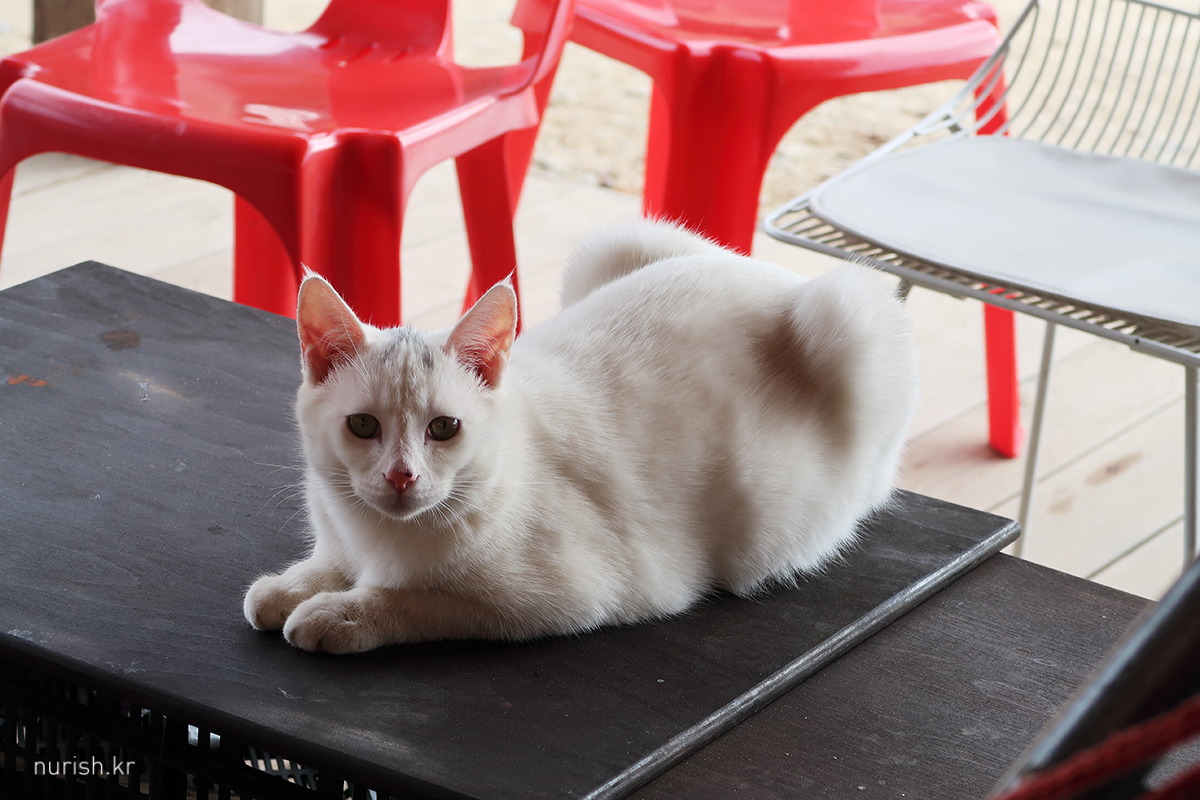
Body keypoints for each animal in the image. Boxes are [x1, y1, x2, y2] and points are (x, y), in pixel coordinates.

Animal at [243, 220, 919, 654]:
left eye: (443, 428)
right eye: (363, 425)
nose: (400, 476)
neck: (376, 534)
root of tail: (781, 277)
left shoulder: (564, 598)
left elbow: (415, 599)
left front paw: (338, 613)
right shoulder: (340, 536)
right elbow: (326, 565)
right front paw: (289, 587)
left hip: (852, 313)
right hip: (615, 242)